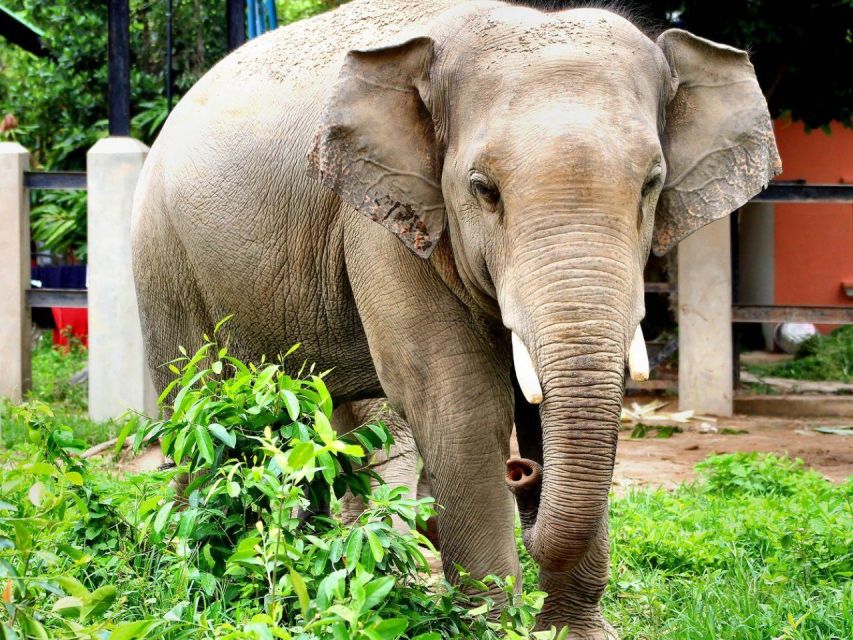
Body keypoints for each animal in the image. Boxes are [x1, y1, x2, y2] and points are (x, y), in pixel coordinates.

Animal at [131, 1, 780, 636]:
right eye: (482, 189)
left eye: (651, 184)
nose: (523, 475)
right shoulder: (384, 221)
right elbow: (461, 406)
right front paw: (493, 624)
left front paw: (575, 633)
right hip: (164, 262)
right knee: (197, 412)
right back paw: (193, 574)